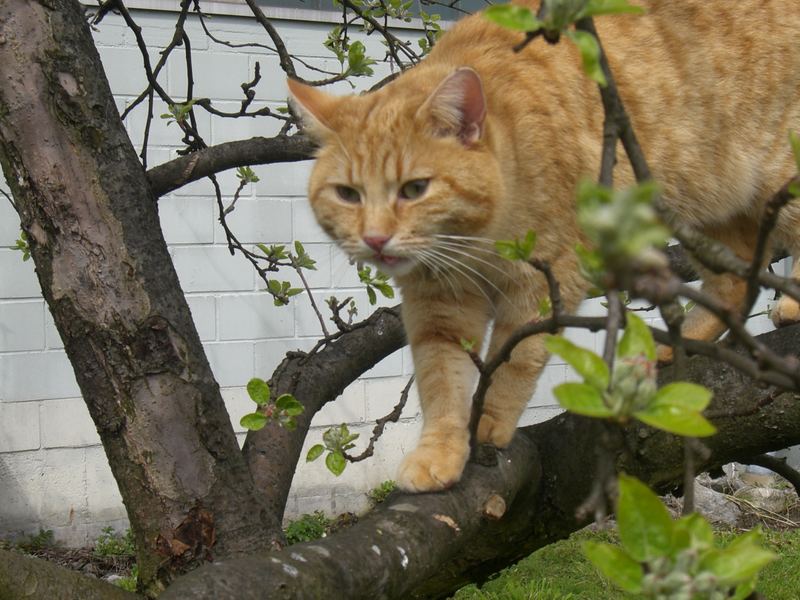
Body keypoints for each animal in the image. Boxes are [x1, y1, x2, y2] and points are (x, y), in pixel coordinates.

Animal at [288, 1, 800, 492]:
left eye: (414, 189)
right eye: (348, 194)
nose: (375, 238)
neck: (476, 242)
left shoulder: (545, 283)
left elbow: (516, 360)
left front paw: (489, 423)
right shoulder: (439, 304)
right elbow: (441, 379)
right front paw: (441, 451)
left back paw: (790, 307)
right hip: (703, 210)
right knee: (736, 282)